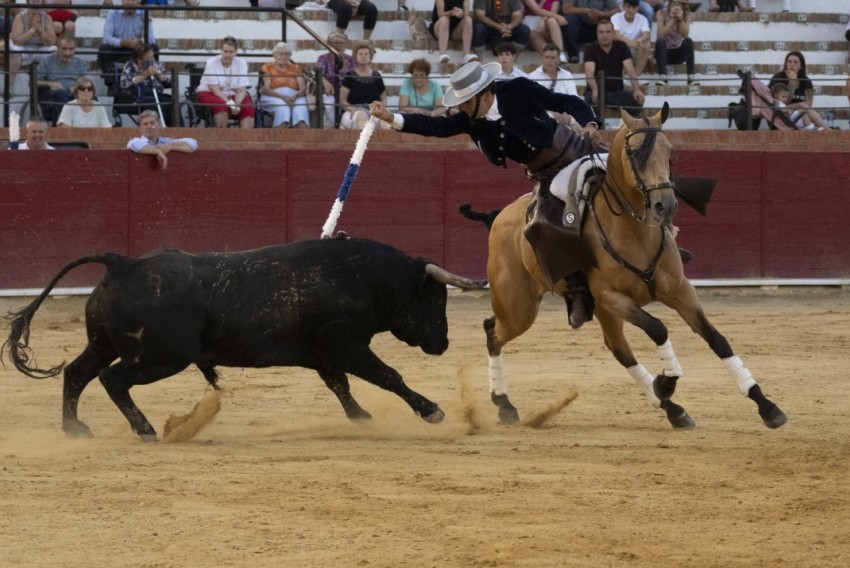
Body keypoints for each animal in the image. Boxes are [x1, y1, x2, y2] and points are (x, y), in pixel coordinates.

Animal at [3, 237, 484, 442]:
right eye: (436, 298)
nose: (442, 342)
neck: (364, 277)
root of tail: (123, 264)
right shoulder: (347, 346)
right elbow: (388, 376)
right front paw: (432, 411)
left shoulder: (324, 354)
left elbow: (340, 386)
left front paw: (361, 418)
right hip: (161, 357)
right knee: (113, 380)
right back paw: (146, 430)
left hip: (103, 343)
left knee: (77, 374)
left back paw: (74, 428)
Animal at [474, 103, 784, 430]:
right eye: (634, 154)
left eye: (669, 151)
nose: (665, 205)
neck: (634, 233)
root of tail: (500, 216)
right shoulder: (612, 297)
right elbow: (658, 328)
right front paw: (666, 382)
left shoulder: (680, 290)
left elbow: (717, 339)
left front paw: (766, 405)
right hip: (519, 307)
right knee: (493, 332)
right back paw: (504, 405)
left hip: (591, 311)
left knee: (620, 351)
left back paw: (674, 411)